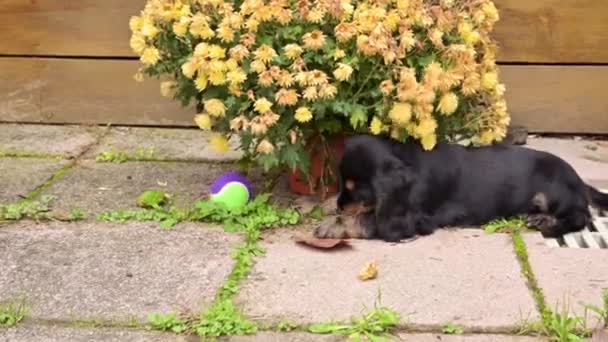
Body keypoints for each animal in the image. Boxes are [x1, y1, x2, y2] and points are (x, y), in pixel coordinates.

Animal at [314, 133, 608, 240]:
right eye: (341, 183)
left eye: (356, 189)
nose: (340, 205)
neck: (406, 160)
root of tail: (579, 180)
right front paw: (328, 205)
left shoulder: (416, 220)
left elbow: (368, 220)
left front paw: (331, 226)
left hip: (555, 191)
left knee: (581, 216)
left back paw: (549, 225)